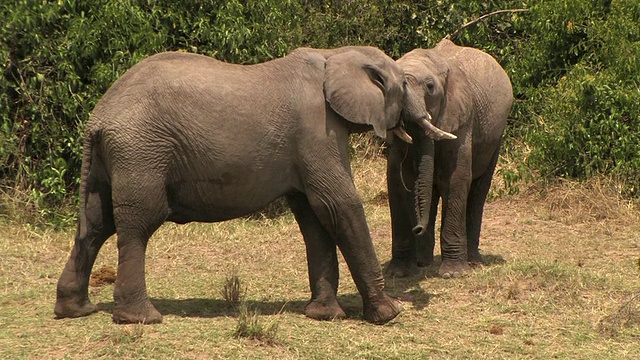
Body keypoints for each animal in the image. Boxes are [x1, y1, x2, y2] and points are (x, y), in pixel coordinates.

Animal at [55, 46, 452, 324]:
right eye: (405, 84)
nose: (418, 230)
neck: (335, 53)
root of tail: (99, 116)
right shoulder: (317, 130)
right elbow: (339, 205)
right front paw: (389, 314)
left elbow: (313, 217)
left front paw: (324, 316)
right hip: (140, 151)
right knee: (137, 225)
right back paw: (141, 319)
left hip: (115, 158)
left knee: (95, 226)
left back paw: (76, 310)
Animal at [384, 40, 516, 278]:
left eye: (430, 87)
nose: (417, 228)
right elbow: (397, 183)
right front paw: (398, 273)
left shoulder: (462, 119)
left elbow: (456, 179)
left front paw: (453, 274)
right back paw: (424, 262)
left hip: (495, 139)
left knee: (478, 190)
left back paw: (472, 262)